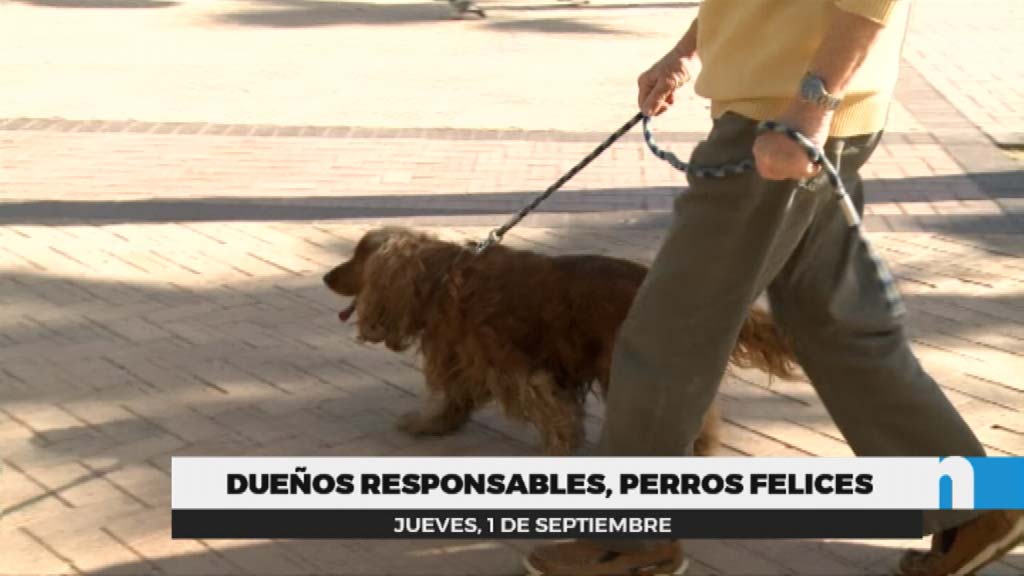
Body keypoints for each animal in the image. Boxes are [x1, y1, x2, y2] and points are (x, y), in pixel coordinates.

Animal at [323, 226, 794, 455]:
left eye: (356, 256)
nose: (326, 277)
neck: (440, 277)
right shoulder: (466, 356)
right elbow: (454, 397)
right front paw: (432, 424)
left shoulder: (518, 365)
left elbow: (555, 415)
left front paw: (560, 449)